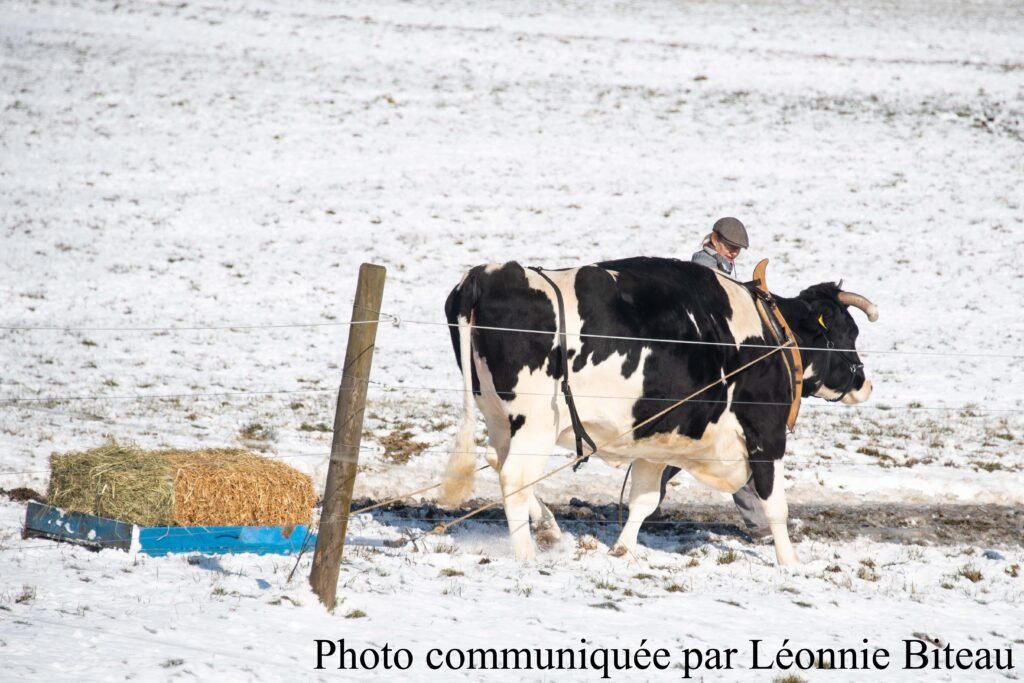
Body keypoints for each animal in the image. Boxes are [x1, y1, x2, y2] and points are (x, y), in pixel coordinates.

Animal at [437, 257, 878, 566]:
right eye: (849, 333)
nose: (865, 383)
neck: (775, 336)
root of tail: (485, 274)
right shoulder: (764, 433)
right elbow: (775, 505)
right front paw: (791, 562)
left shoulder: (659, 442)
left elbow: (644, 500)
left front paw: (622, 550)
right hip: (537, 423)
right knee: (514, 477)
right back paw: (527, 554)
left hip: (499, 416)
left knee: (499, 460)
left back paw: (549, 529)